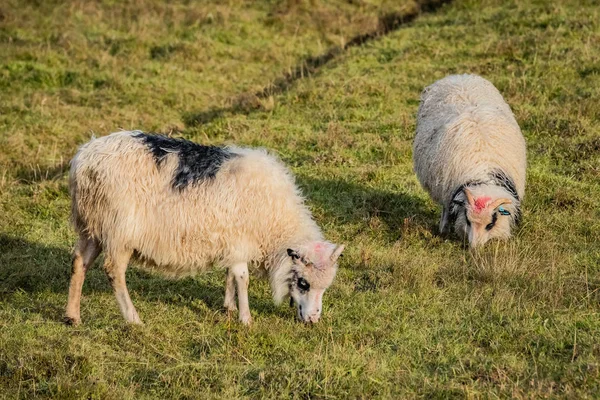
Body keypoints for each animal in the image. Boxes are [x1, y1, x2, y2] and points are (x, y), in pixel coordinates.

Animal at [63, 131, 344, 324]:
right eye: (303, 283)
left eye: (324, 287)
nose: (313, 320)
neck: (276, 222)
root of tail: (84, 160)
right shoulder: (240, 239)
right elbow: (242, 278)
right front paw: (246, 319)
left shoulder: (231, 241)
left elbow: (230, 274)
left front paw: (229, 307)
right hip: (118, 230)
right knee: (113, 271)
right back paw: (133, 319)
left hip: (92, 225)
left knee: (79, 262)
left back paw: (72, 316)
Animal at [412, 73, 524, 245]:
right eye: (468, 220)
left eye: (490, 224)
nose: (474, 248)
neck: (483, 171)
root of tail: (458, 76)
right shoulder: (449, 192)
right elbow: (447, 209)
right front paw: (444, 230)